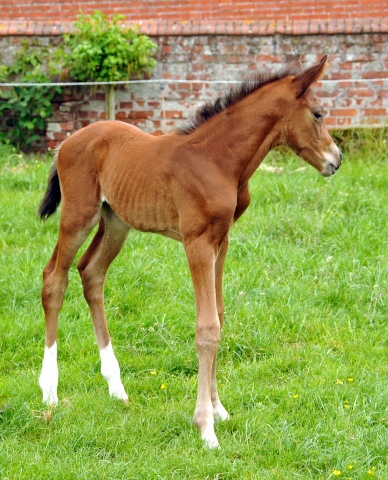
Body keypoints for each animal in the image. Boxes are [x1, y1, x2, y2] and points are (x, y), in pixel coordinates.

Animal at [39, 56, 342, 450]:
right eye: (318, 114)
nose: (336, 159)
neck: (218, 159)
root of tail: (65, 143)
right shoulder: (196, 241)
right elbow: (207, 326)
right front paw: (206, 427)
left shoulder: (221, 240)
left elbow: (220, 315)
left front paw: (219, 409)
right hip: (79, 216)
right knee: (54, 279)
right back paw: (49, 391)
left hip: (116, 221)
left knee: (91, 273)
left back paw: (116, 387)